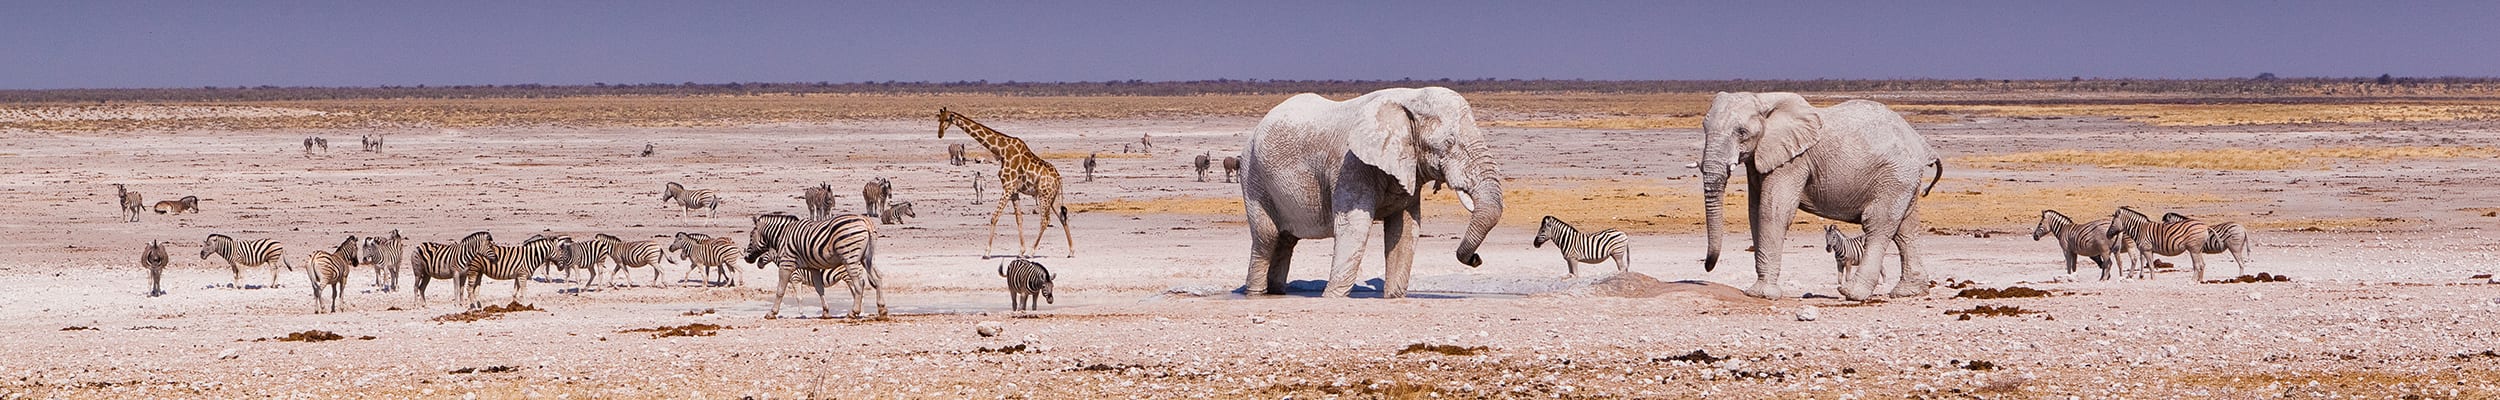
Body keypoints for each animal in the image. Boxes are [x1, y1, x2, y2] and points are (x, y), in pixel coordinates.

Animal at [735, 212, 885, 318]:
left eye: (751, 236)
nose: (747, 258)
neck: (782, 235)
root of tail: (865, 221)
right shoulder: (813, 267)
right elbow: (820, 289)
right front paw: (825, 312)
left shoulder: (787, 264)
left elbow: (780, 290)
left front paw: (772, 313)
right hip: (867, 258)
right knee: (877, 278)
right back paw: (882, 310)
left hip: (849, 256)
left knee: (859, 284)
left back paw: (853, 313)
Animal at [930, 106, 1065, 256]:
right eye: (939, 119)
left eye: (947, 119)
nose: (940, 134)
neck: (1002, 150)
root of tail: (1058, 178)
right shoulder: (1013, 190)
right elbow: (1019, 219)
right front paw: (1021, 251)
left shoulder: (1008, 187)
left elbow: (994, 217)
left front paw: (987, 252)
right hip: (1052, 197)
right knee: (1062, 217)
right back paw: (1071, 251)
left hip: (1044, 196)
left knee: (1045, 220)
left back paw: (1032, 251)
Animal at [1235, 88, 1500, 300]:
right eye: (1449, 142)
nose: (1476, 259)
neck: (1410, 98)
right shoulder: (1350, 164)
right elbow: (1355, 227)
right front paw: (1332, 298)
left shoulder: (1408, 168)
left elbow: (1405, 229)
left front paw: (1394, 298)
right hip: (1252, 175)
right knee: (1267, 238)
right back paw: (1255, 295)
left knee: (1285, 241)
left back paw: (1277, 293)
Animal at [1690, 93, 1940, 300]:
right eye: (1704, 127)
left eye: (1741, 132)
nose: (1707, 266)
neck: (1765, 100)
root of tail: (1922, 145)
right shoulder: (1759, 159)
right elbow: (1754, 212)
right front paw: (1757, 292)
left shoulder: (1794, 161)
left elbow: (1773, 211)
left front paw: (1762, 295)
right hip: (1904, 180)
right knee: (1906, 229)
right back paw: (1908, 292)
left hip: (1896, 175)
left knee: (1878, 224)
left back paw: (1852, 294)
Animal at [2120, 207, 2260, 282]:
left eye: (2165, 223)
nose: (2159, 234)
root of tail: (2243, 228)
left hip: (2234, 247)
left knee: (2241, 263)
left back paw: (2239, 277)